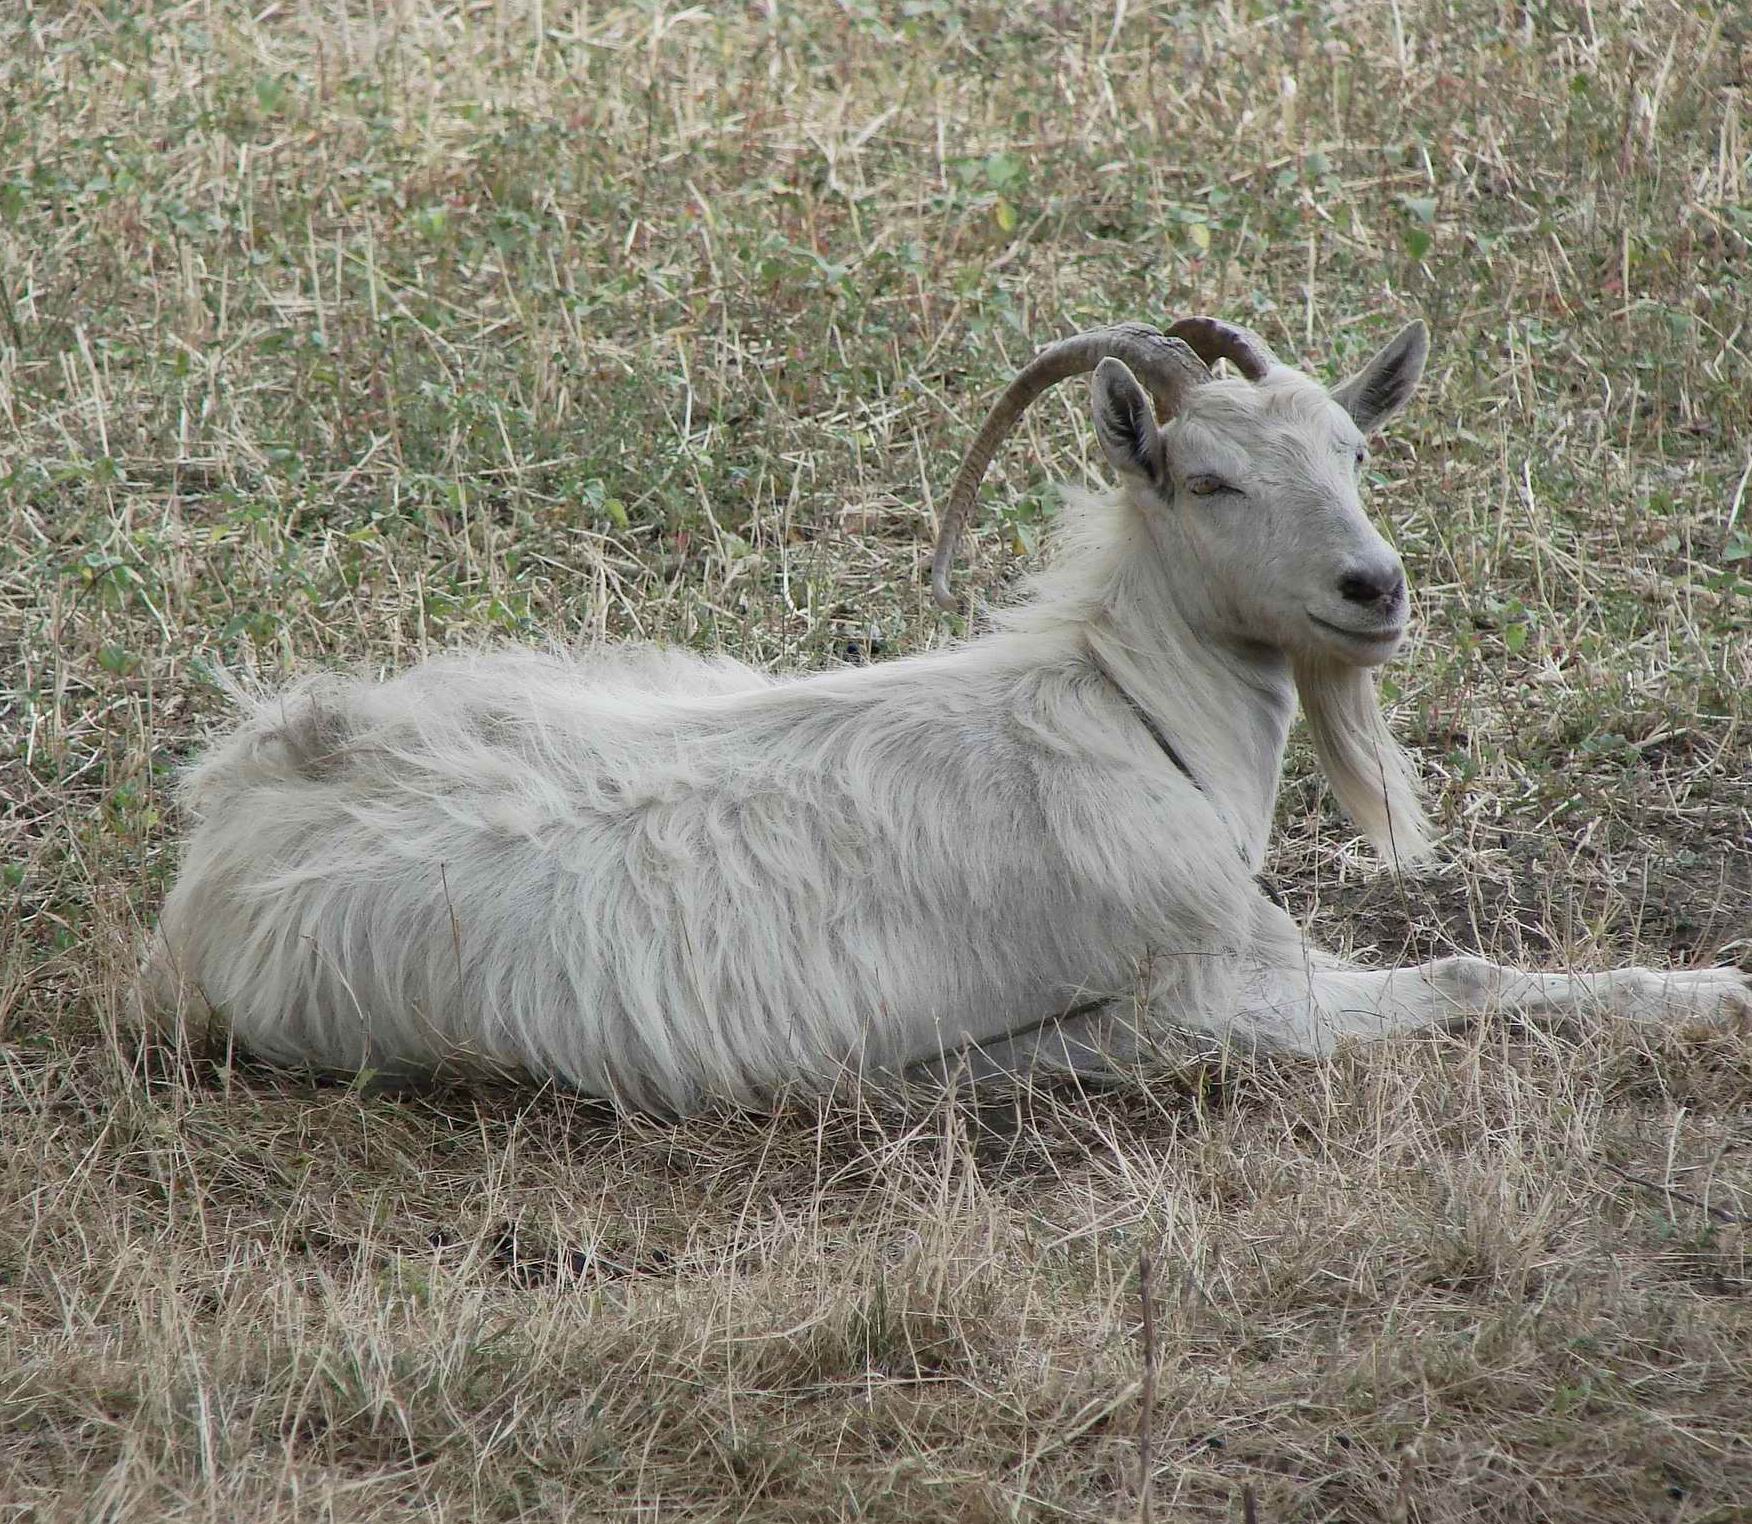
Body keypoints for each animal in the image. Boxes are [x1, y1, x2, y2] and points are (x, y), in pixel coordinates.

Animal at [140, 317, 1750, 1111]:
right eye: (1208, 479)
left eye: (1354, 449)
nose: (1376, 588)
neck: (1131, 720)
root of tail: (240, 816)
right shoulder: (1222, 990)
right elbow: (1469, 975)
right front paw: (1712, 994)